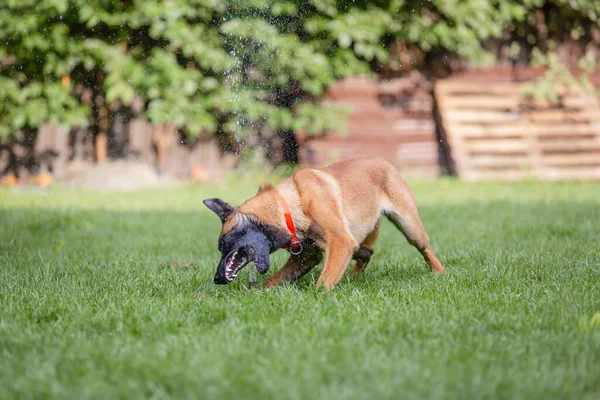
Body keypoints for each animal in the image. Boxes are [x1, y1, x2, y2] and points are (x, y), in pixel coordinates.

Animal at [204, 156, 442, 290]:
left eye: (223, 244)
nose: (217, 279)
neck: (289, 207)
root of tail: (384, 161)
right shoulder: (307, 256)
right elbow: (271, 282)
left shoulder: (340, 242)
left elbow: (323, 283)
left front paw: (317, 297)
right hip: (357, 240)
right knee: (367, 252)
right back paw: (352, 276)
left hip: (409, 228)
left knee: (425, 247)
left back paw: (440, 272)